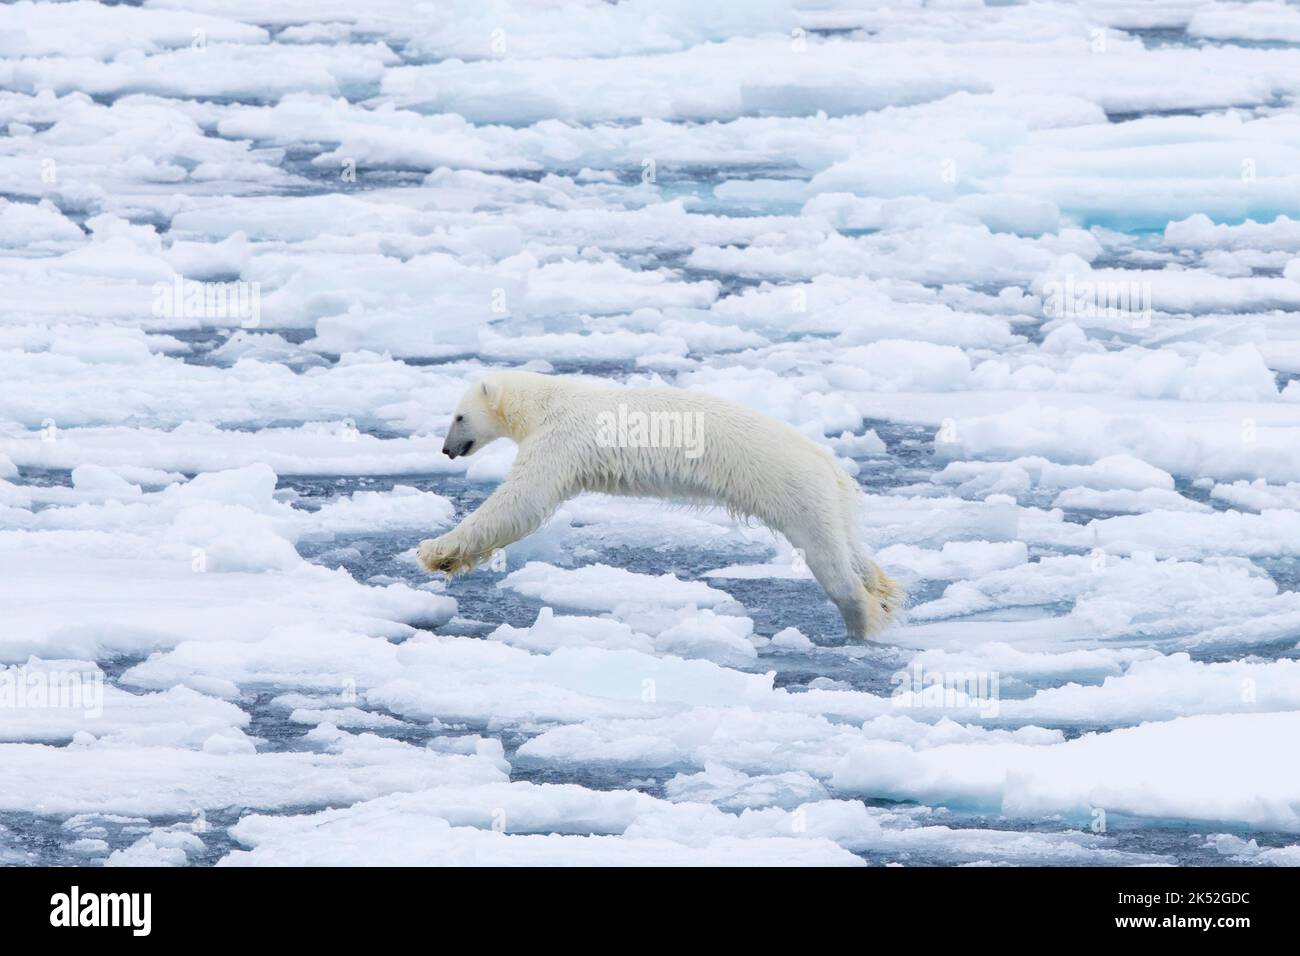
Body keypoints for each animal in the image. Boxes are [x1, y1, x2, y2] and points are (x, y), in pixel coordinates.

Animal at [418, 369, 904, 639]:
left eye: (458, 416)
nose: (446, 450)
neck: (547, 400)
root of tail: (828, 462)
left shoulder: (560, 439)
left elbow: (521, 502)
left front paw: (435, 552)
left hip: (792, 490)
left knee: (830, 560)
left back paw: (862, 622)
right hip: (829, 498)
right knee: (852, 547)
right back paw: (883, 593)